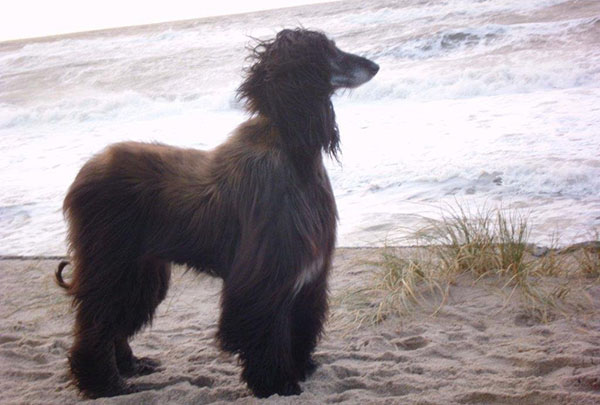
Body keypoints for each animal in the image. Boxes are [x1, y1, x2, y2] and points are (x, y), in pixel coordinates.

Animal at [56, 28, 378, 398]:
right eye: (329, 52)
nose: (375, 66)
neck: (294, 156)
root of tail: (85, 172)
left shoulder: (309, 277)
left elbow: (301, 325)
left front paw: (300, 368)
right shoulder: (264, 275)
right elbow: (264, 329)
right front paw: (275, 382)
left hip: (140, 269)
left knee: (116, 320)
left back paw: (130, 365)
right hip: (112, 261)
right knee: (96, 323)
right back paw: (103, 383)